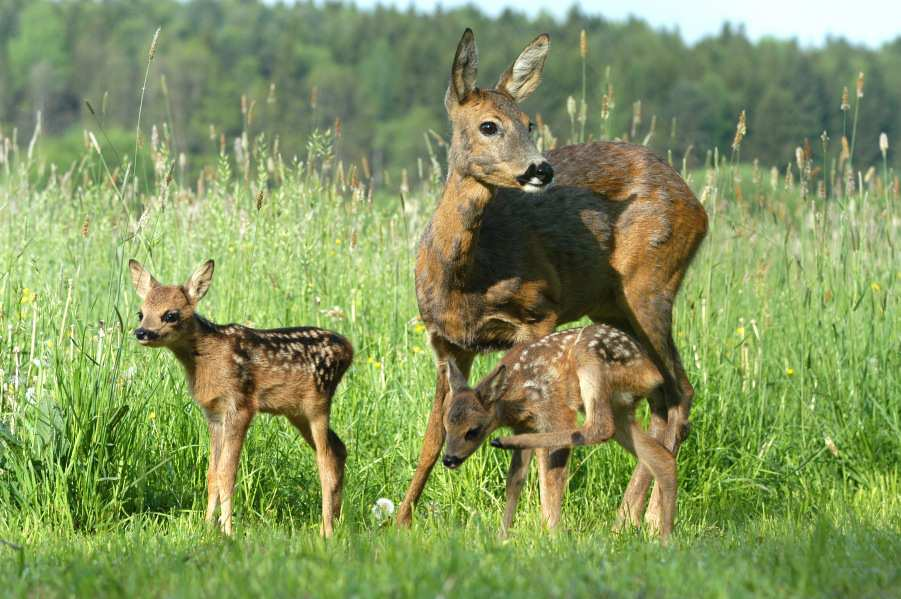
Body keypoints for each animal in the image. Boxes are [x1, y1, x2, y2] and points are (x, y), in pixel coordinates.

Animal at [126, 260, 352, 536]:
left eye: (171, 315)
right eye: (140, 313)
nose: (142, 332)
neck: (209, 357)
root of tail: (349, 349)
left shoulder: (241, 405)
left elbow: (227, 473)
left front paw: (227, 530)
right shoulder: (213, 413)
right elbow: (212, 473)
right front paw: (206, 525)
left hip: (318, 404)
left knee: (326, 460)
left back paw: (326, 531)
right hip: (296, 412)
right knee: (339, 449)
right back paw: (337, 522)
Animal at [440, 326, 672, 540]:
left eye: (473, 431)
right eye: (445, 426)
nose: (449, 459)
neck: (514, 399)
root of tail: (653, 372)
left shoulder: (557, 411)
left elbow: (553, 478)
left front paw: (553, 537)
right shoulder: (524, 425)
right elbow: (515, 481)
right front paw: (502, 537)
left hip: (590, 360)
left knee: (598, 427)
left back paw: (505, 441)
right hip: (621, 410)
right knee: (661, 458)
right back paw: (664, 538)